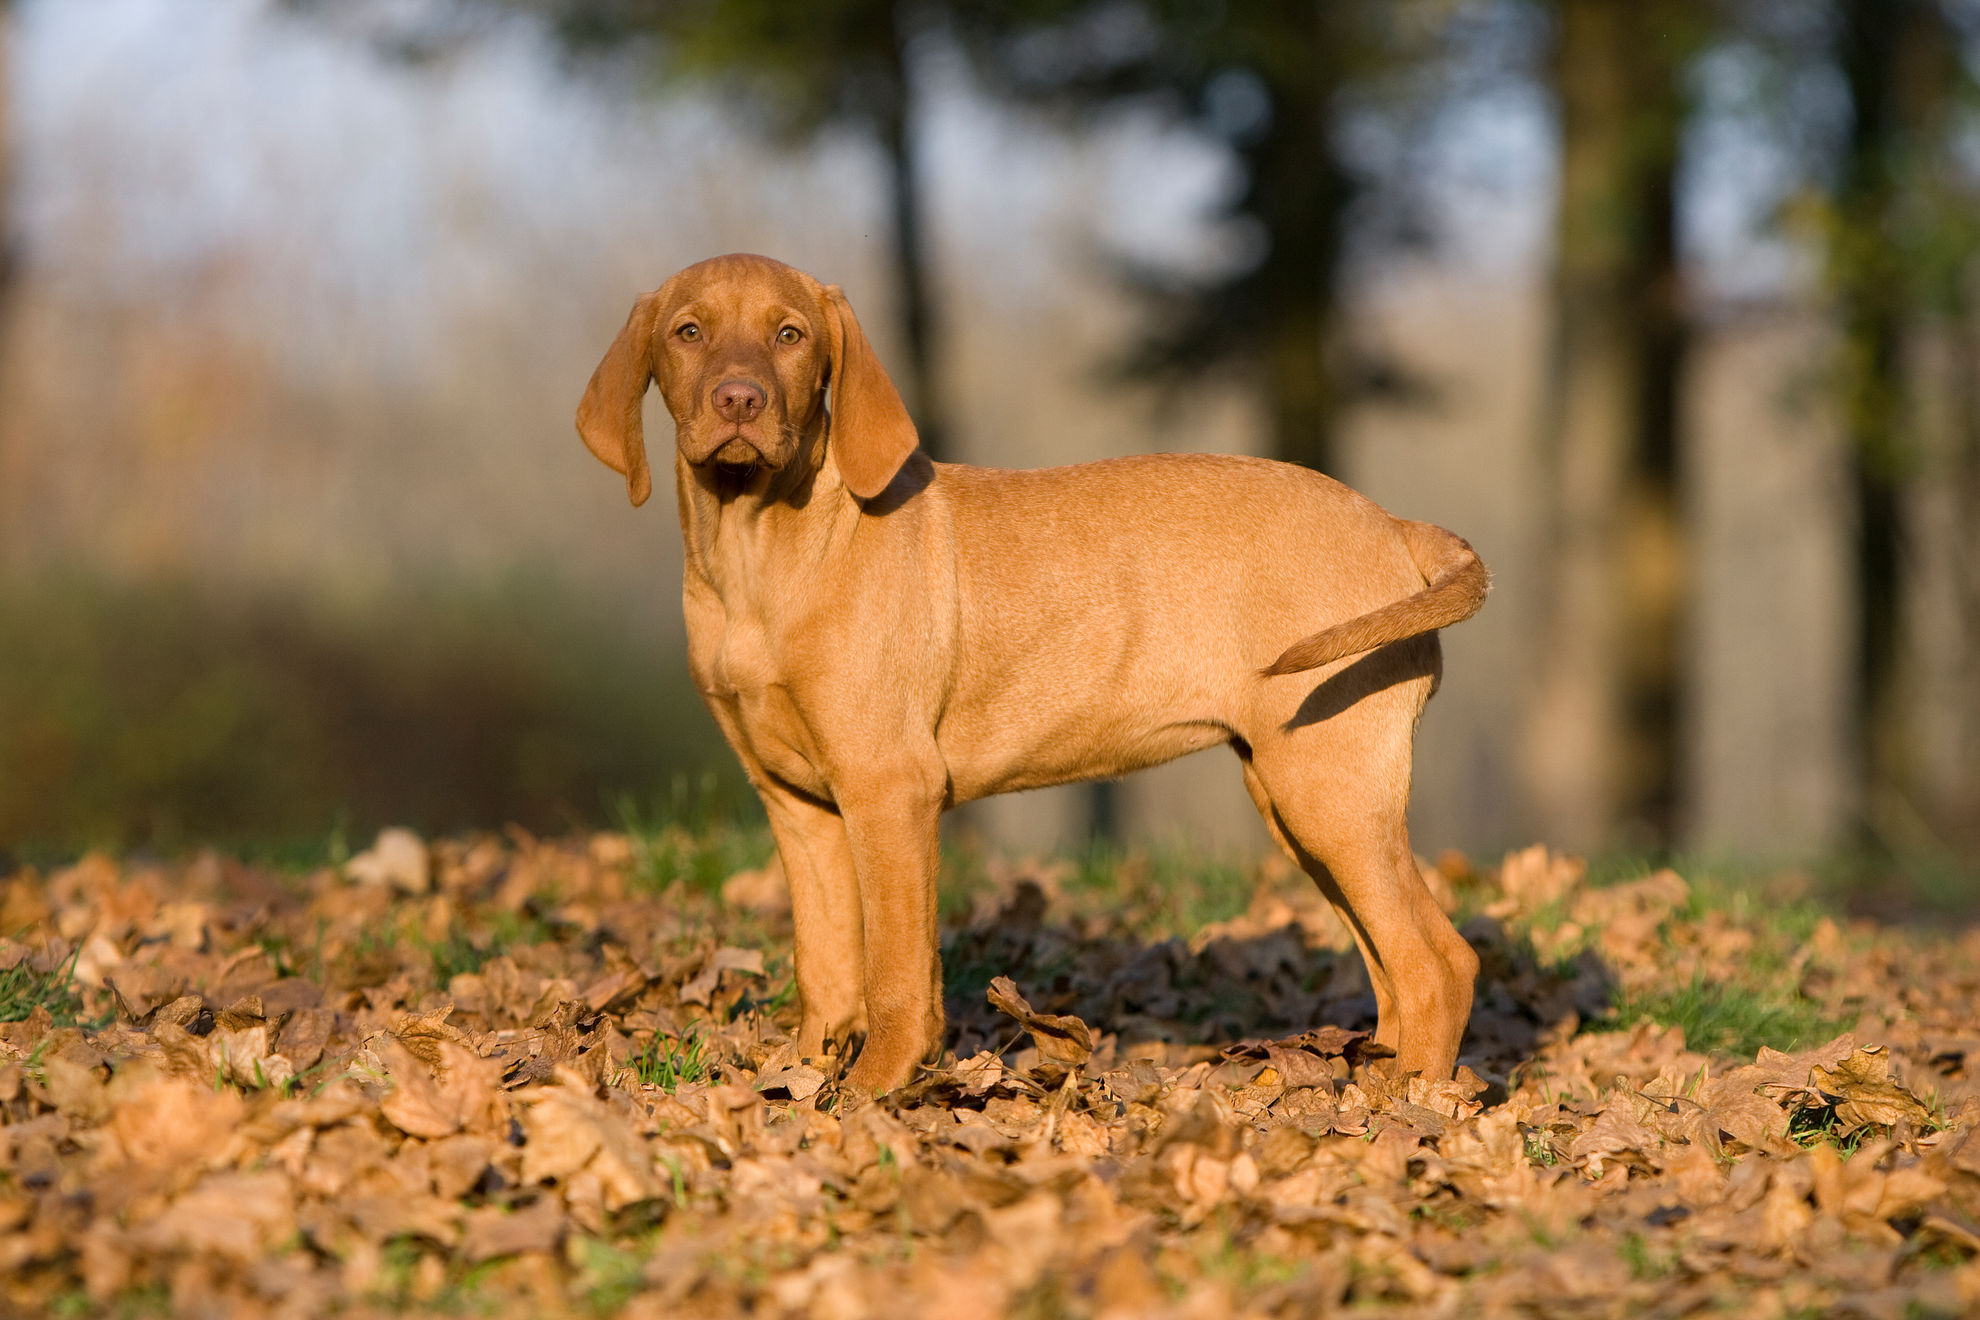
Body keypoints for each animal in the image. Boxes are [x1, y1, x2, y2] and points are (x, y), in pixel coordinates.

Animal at [574, 250, 1488, 1092]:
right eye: (688, 332)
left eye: (790, 335)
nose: (739, 401)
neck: (760, 554)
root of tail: (1396, 525)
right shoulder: (797, 804)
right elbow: (827, 966)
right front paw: (801, 1083)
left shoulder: (888, 788)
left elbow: (897, 970)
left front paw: (872, 1093)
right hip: (1297, 797)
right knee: (1392, 969)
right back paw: (1379, 1086)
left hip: (1329, 789)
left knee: (1439, 962)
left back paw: (1410, 1108)